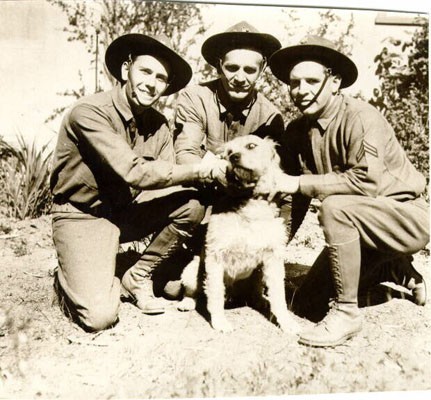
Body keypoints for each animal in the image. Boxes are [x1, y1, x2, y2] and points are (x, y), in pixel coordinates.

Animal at [177, 135, 298, 334]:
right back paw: (187, 302)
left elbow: (279, 296)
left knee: (256, 290)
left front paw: (287, 322)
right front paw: (219, 322)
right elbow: (215, 293)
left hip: (258, 273)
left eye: (251, 145)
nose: (233, 157)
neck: (250, 201)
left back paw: (260, 300)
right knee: (194, 291)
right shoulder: (215, 255)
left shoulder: (273, 257)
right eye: (228, 152)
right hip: (192, 269)